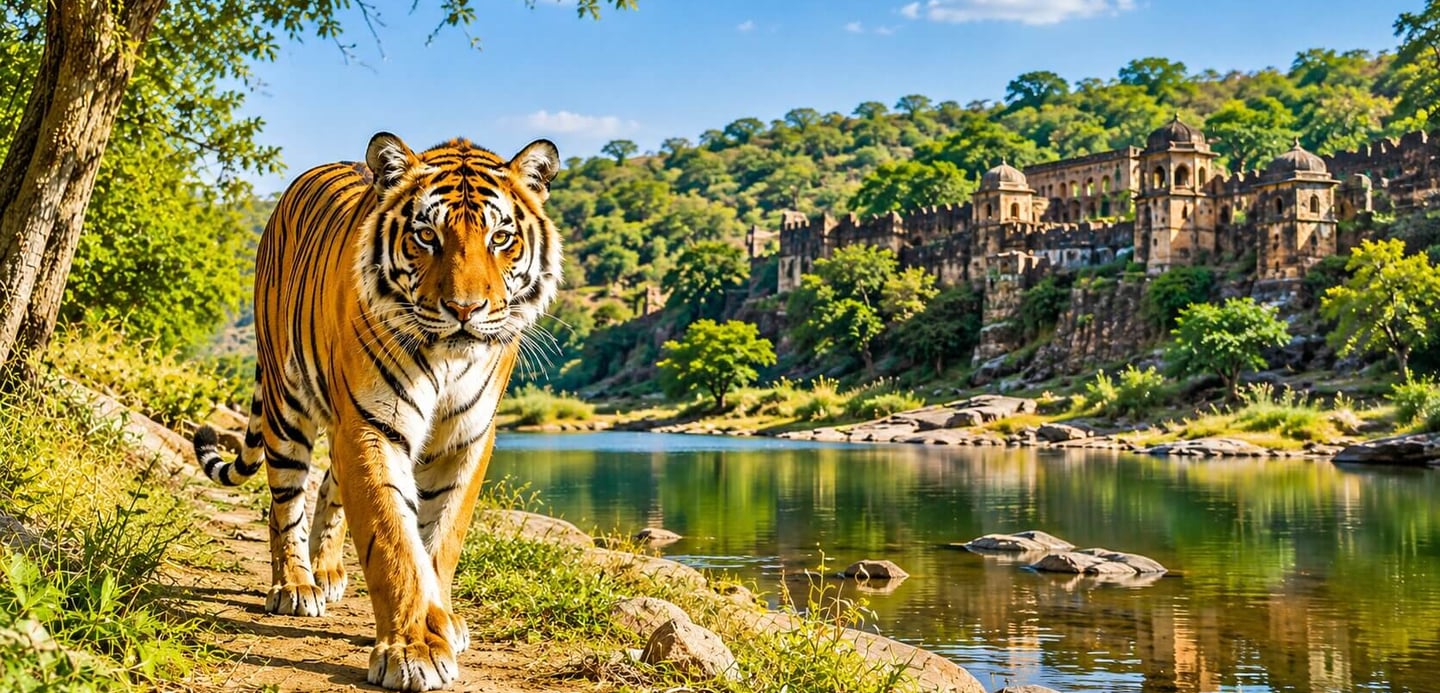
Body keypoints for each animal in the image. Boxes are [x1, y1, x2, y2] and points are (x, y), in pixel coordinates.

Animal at [191, 132, 562, 691]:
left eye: (500, 238)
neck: (449, 359)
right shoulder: (372, 425)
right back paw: (295, 585)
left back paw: (325, 571)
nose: (465, 309)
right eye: (427, 235)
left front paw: (442, 623)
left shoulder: (467, 437)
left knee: (328, 484)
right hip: (285, 403)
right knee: (285, 500)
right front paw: (413, 649)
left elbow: (440, 538)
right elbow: (392, 539)